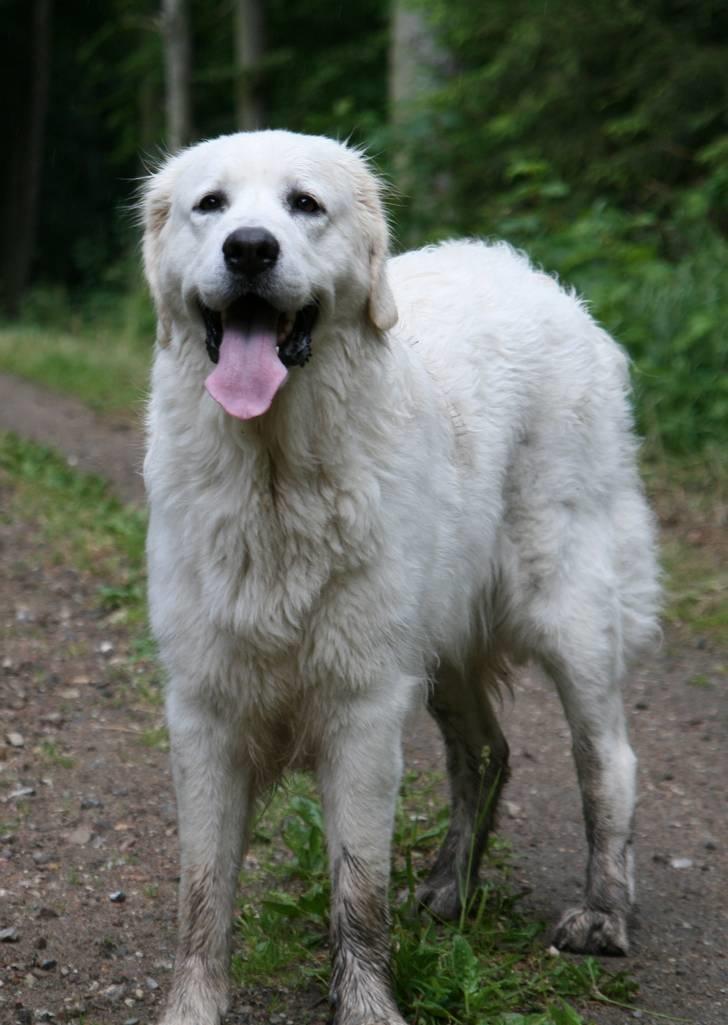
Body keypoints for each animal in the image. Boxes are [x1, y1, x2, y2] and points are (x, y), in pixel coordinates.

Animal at [141, 130, 660, 1025]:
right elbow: (202, 895)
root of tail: (535, 276)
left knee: (607, 763)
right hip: (437, 639)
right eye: (211, 205)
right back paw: (451, 885)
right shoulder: (204, 708)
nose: (251, 248)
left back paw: (600, 911)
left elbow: (357, 892)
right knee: (486, 752)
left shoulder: (362, 708)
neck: (274, 477)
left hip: (571, 612)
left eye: (304, 204)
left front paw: (368, 1005)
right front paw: (192, 1009)